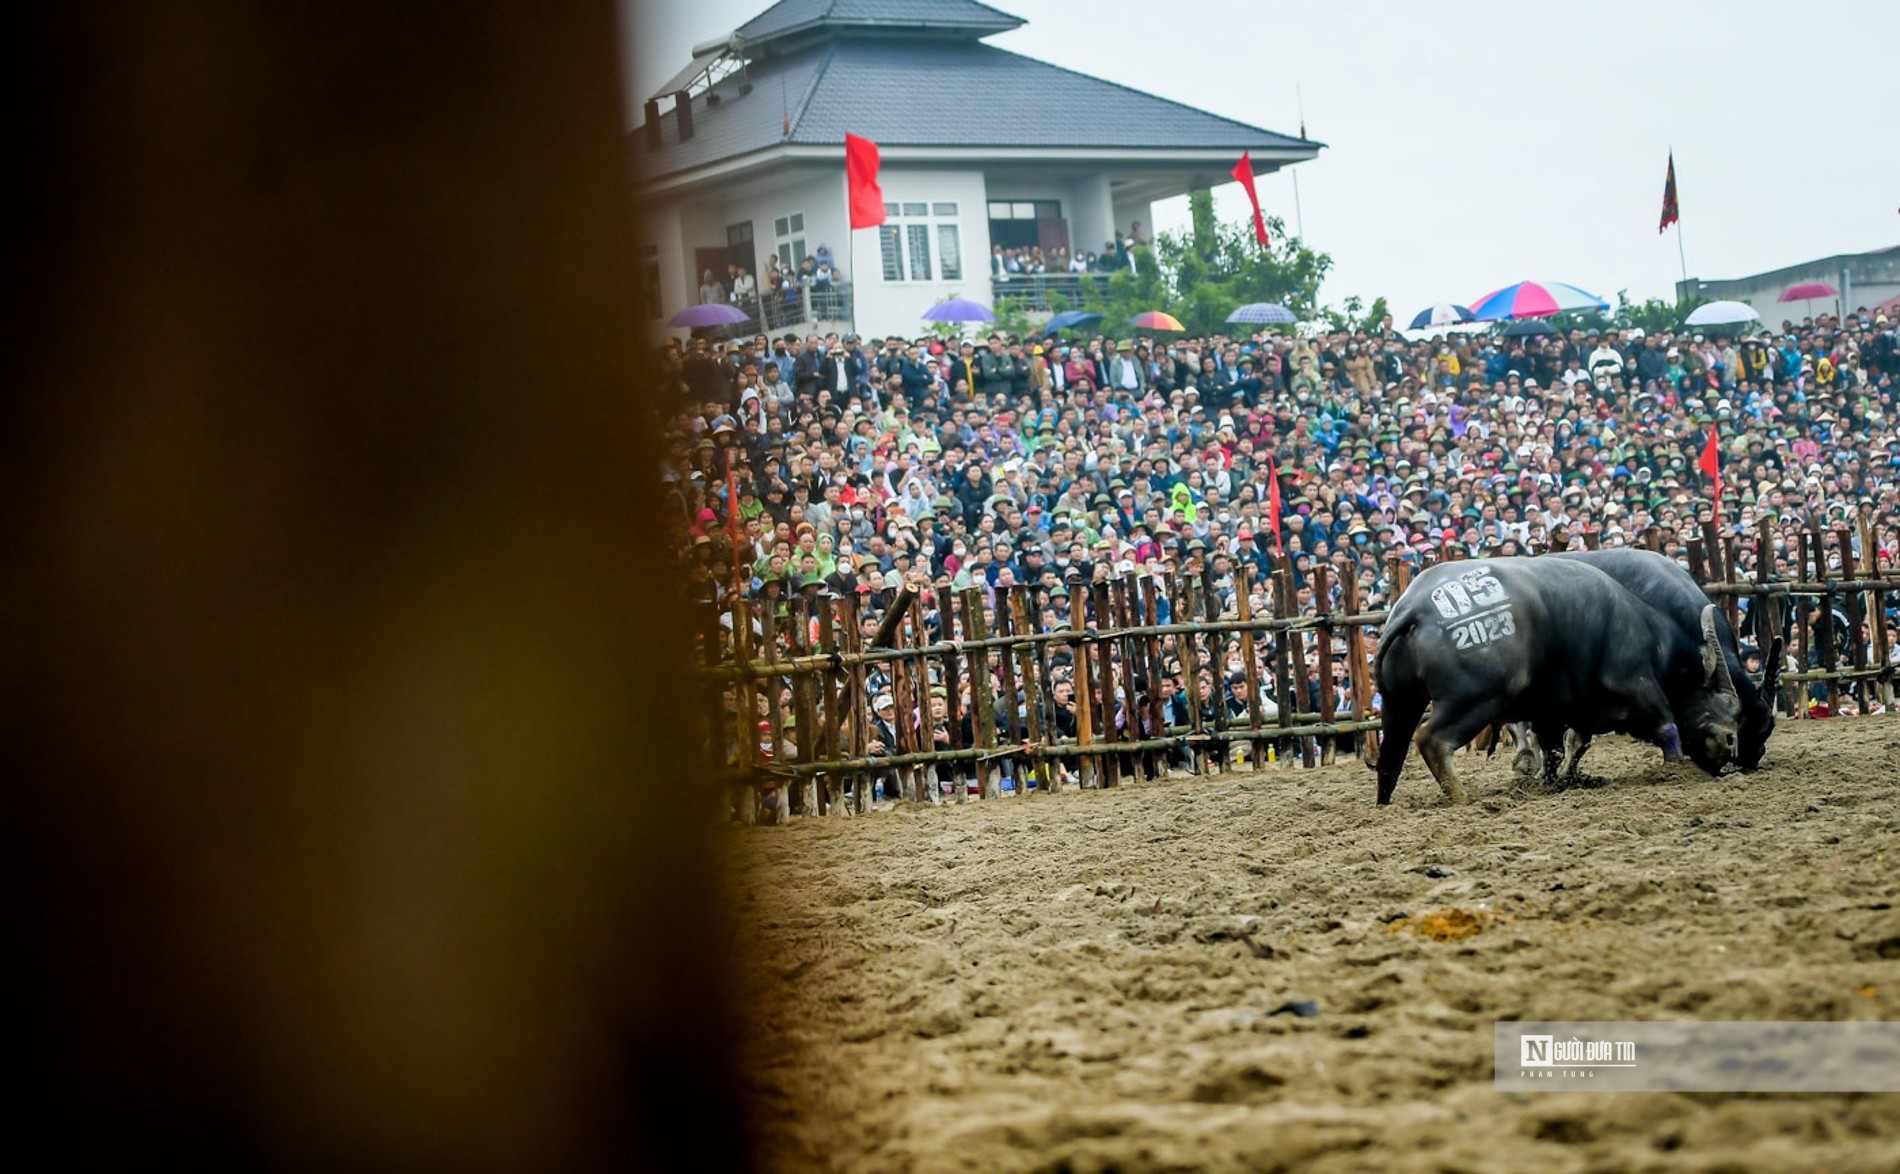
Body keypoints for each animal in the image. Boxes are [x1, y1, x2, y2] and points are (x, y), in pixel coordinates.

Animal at [1375, 554, 1740, 801]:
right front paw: (1675, 771)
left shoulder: (1555, 711)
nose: (1730, 743)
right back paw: (1460, 797)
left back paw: (1385, 803)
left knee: (1390, 756)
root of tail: (1416, 609)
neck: (1653, 640)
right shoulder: (1638, 685)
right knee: (1431, 740)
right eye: (1726, 702)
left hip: (1399, 703)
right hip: (1475, 698)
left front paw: (1559, 780)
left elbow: (1562, 747)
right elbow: (1667, 729)